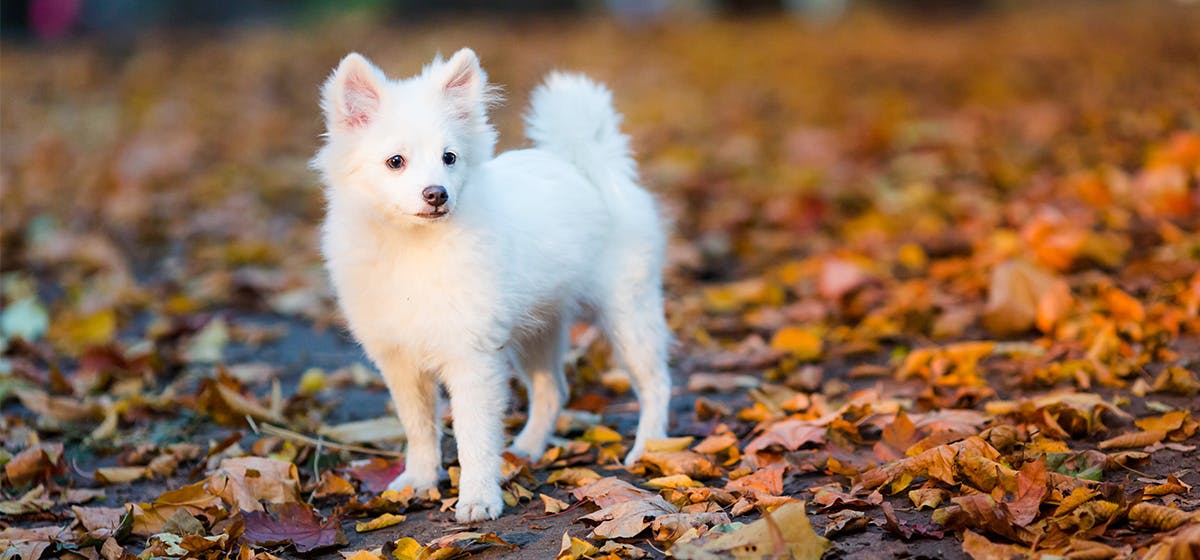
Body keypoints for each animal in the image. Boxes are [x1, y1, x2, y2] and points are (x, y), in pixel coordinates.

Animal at [312, 48, 676, 522]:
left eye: (449, 157)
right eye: (396, 162)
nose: (437, 194)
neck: (412, 247)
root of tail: (583, 161)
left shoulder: (473, 359)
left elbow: (475, 437)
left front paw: (478, 498)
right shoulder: (401, 361)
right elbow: (419, 427)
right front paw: (418, 481)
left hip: (627, 312)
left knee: (656, 383)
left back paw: (650, 447)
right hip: (539, 328)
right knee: (553, 390)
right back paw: (528, 449)